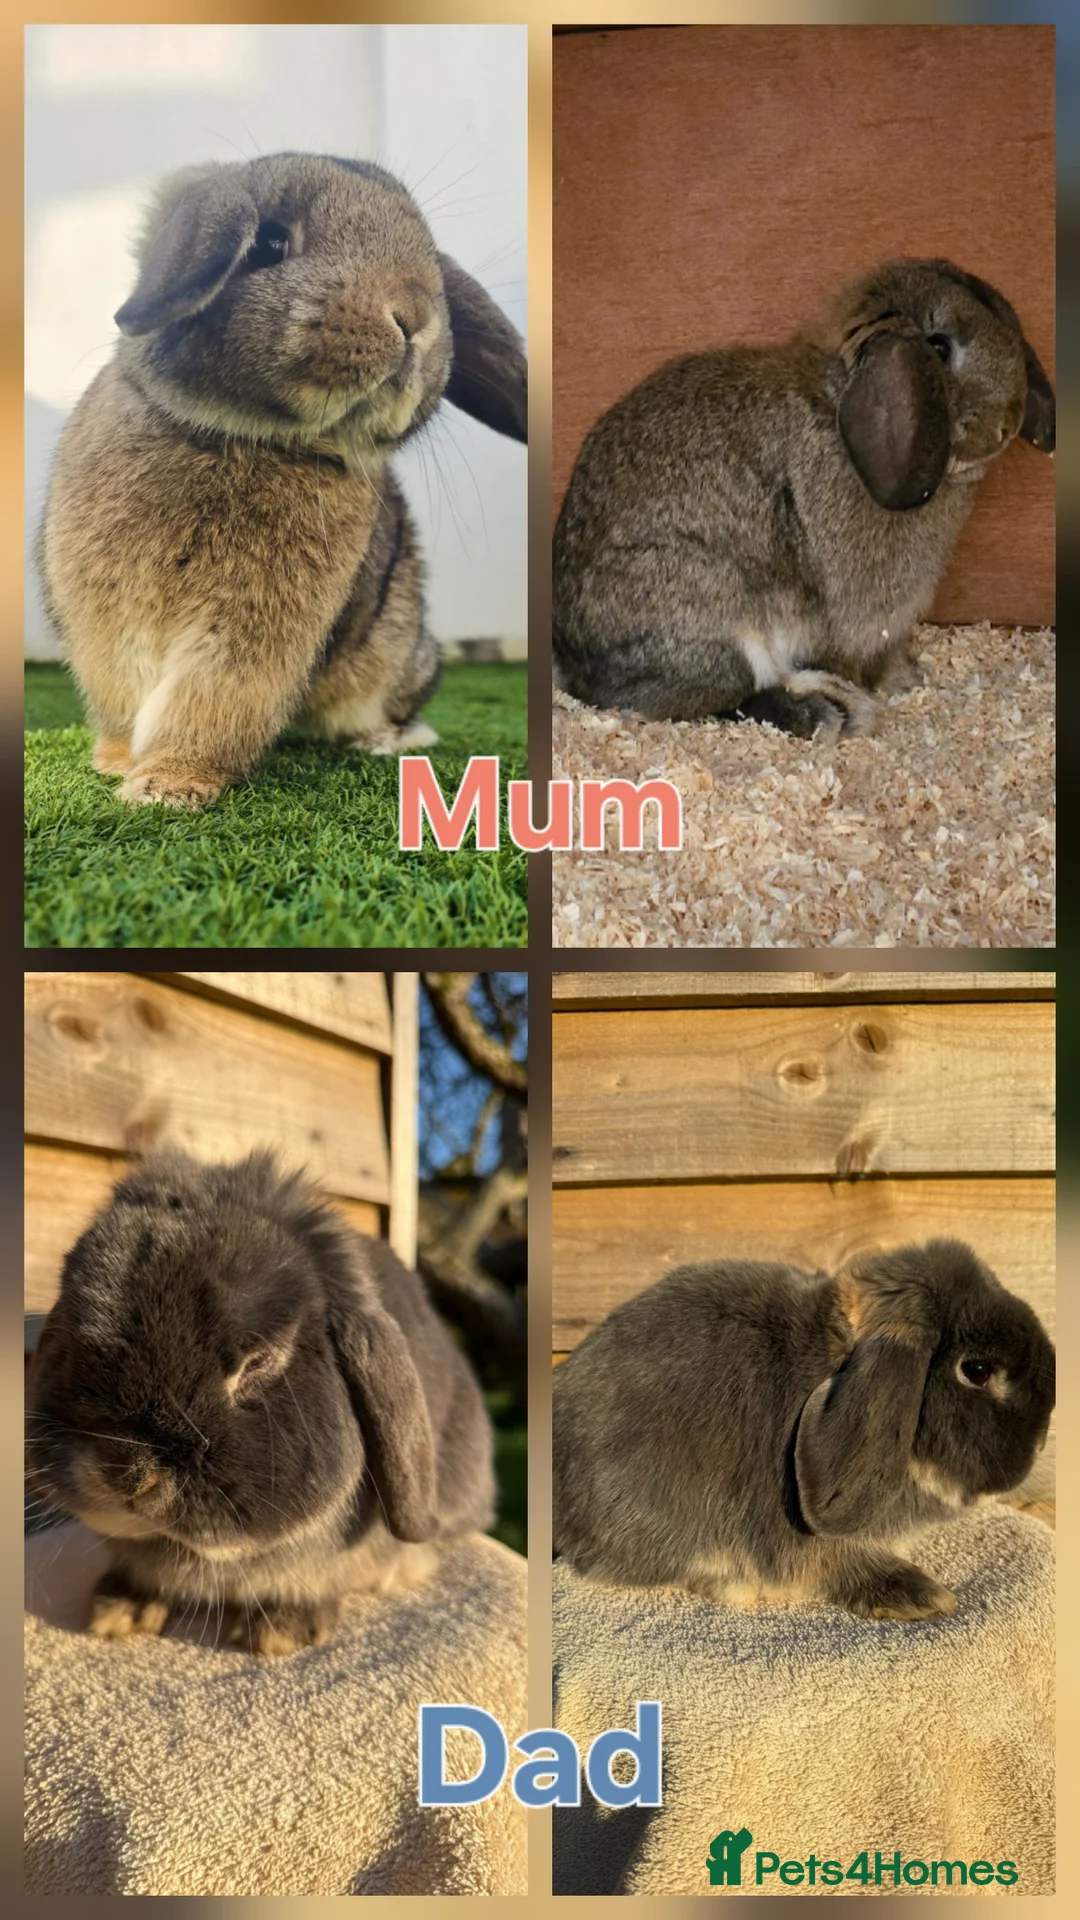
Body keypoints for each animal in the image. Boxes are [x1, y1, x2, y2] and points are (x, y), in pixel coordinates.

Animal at [40, 152, 527, 809]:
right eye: (268, 241)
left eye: (434, 267)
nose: (415, 317)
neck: (246, 437)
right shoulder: (108, 623)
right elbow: (125, 697)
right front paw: (118, 765)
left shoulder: (247, 637)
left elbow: (209, 702)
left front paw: (167, 786)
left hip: (398, 652)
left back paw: (385, 741)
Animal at [553, 259, 1054, 738]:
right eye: (939, 348)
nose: (1009, 422)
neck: (837, 406)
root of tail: (573, 664)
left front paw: (909, 681)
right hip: (711, 628)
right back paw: (827, 711)